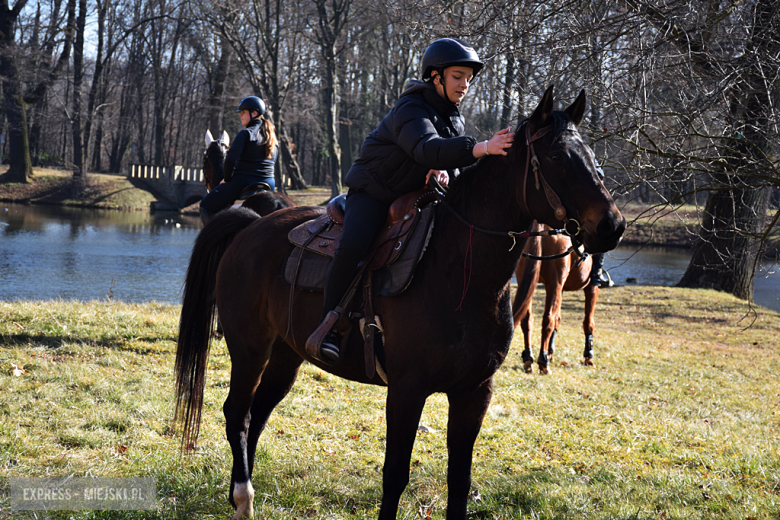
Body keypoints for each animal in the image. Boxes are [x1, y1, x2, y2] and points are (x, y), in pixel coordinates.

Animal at [516, 219, 600, 374]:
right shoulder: (592, 288)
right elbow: (588, 322)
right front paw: (589, 357)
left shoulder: (560, 289)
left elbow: (558, 319)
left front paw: (550, 353)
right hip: (554, 284)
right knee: (548, 319)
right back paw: (543, 362)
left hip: (528, 283)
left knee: (527, 319)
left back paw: (529, 359)